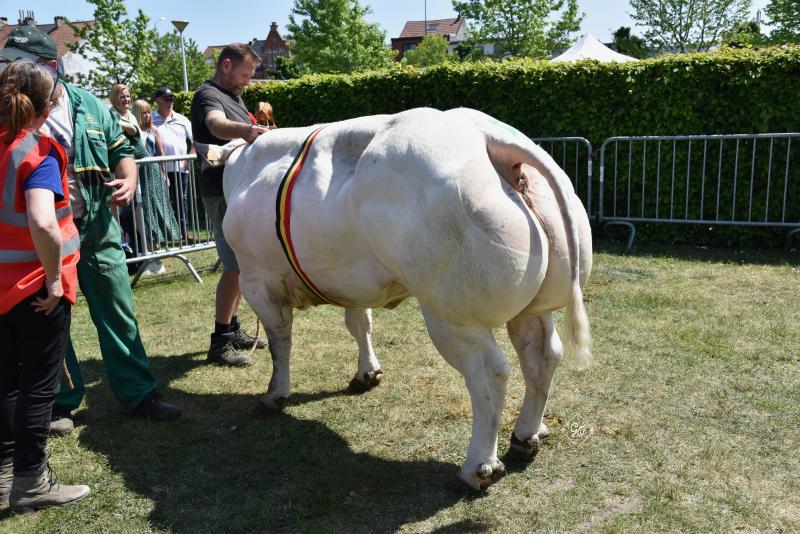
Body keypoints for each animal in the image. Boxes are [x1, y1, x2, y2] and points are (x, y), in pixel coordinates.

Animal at [216, 107, 592, 492]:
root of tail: (485, 133)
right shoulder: (352, 281)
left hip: (451, 313)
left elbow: (280, 341)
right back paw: (527, 436)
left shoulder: (257, 278)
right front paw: (366, 373)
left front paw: (274, 395)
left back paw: (478, 468)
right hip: (535, 306)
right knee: (543, 356)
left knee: (490, 373)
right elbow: (359, 324)